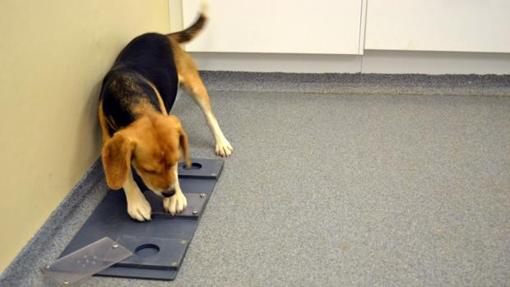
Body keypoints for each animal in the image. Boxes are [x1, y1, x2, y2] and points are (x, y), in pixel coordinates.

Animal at [97, 0, 231, 223]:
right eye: (147, 170)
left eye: (175, 162)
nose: (169, 192)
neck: (132, 97)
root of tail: (164, 35)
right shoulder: (108, 138)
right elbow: (125, 174)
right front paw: (136, 202)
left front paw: (175, 198)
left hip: (194, 86)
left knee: (209, 117)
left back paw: (221, 142)